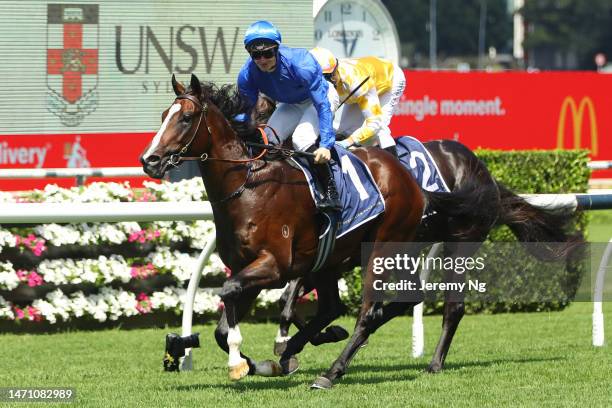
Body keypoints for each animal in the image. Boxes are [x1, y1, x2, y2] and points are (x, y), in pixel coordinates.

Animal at [141, 75, 444, 386]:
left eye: (186, 118)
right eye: (164, 116)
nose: (150, 160)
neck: (248, 188)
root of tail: (407, 176)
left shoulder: (274, 266)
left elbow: (229, 292)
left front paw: (240, 362)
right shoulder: (246, 267)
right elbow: (222, 328)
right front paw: (258, 364)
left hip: (382, 250)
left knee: (368, 313)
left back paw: (331, 372)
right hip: (332, 260)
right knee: (338, 307)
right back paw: (297, 349)